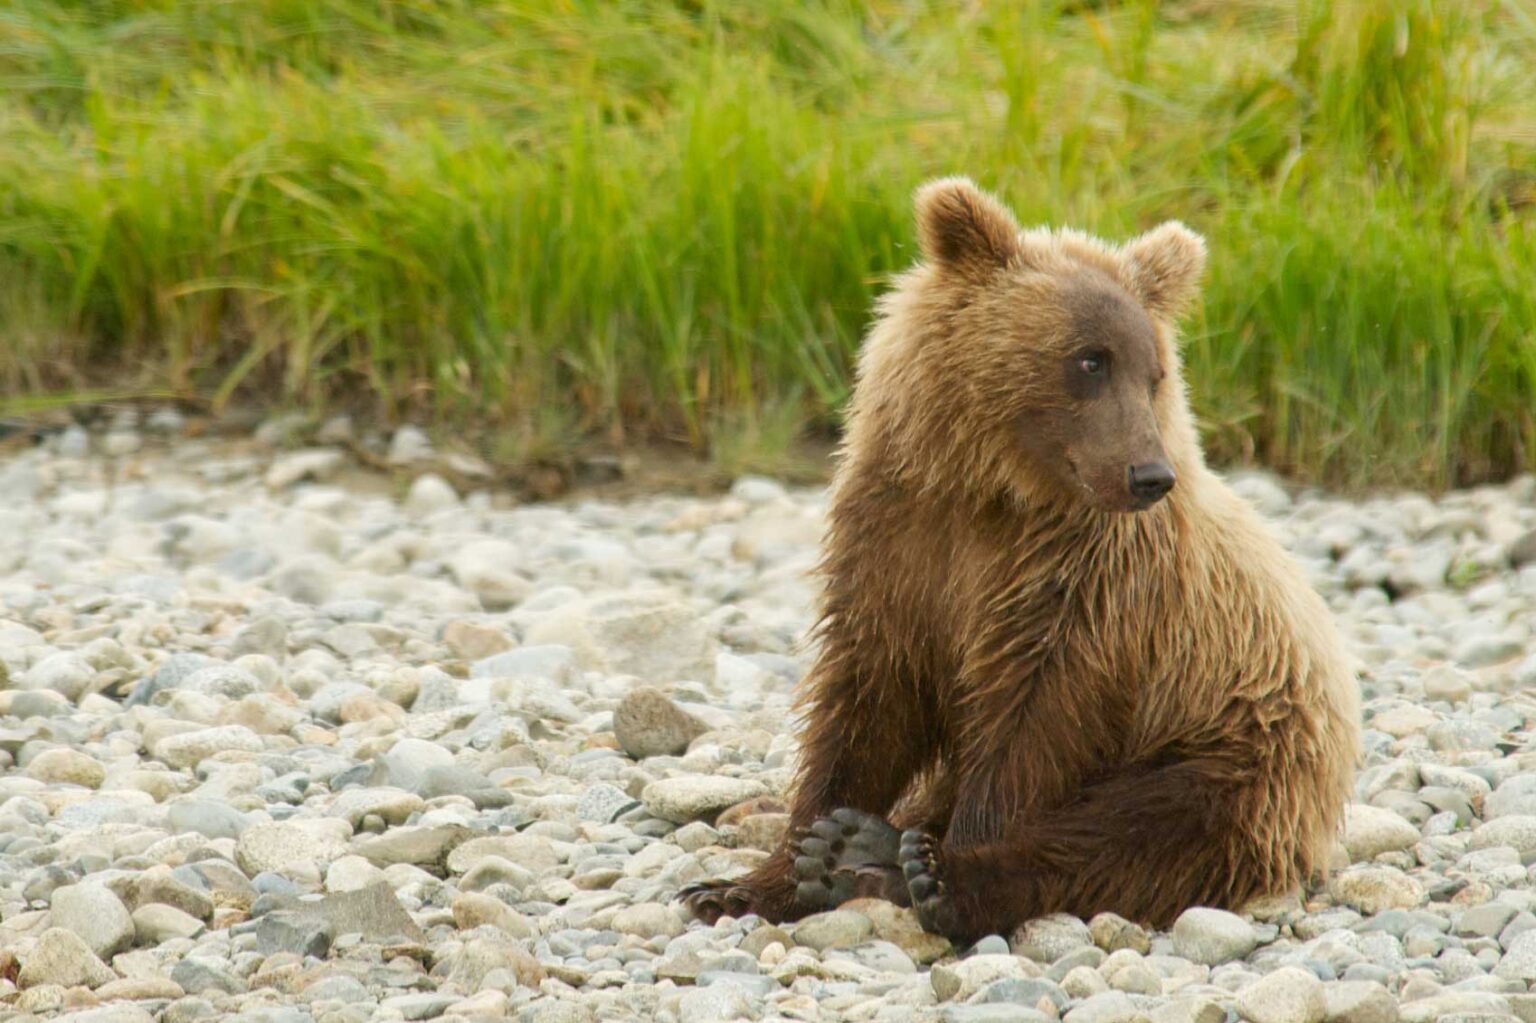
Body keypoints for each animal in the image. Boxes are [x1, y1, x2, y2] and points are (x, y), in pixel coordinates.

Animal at [679, 177, 1362, 942]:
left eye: (1154, 371)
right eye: (1091, 359)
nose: (1149, 475)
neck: (993, 489)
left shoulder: (1083, 585)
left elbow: (1029, 732)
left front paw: (926, 867)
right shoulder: (898, 543)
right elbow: (866, 701)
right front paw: (756, 878)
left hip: (1242, 748)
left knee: (1143, 828)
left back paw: (915, 867)